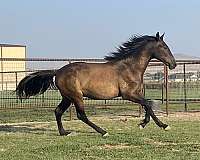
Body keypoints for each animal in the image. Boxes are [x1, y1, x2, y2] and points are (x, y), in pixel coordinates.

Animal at [16, 32, 177, 136]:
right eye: (164, 47)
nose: (173, 64)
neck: (129, 67)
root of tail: (58, 72)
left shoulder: (137, 94)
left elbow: (147, 105)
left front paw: (146, 124)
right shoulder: (128, 95)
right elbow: (148, 104)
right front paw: (160, 125)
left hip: (67, 97)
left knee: (58, 111)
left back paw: (64, 133)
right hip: (76, 96)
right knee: (81, 115)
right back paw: (103, 132)